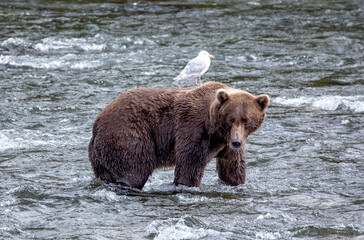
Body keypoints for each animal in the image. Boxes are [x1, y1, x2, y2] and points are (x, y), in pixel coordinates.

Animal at [88, 82, 270, 189]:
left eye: (246, 120)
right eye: (230, 119)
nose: (237, 142)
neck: (215, 129)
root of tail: (97, 122)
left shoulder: (225, 145)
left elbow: (232, 168)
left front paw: (236, 182)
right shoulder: (193, 128)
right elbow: (189, 164)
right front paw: (187, 185)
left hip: (99, 154)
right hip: (129, 133)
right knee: (135, 169)